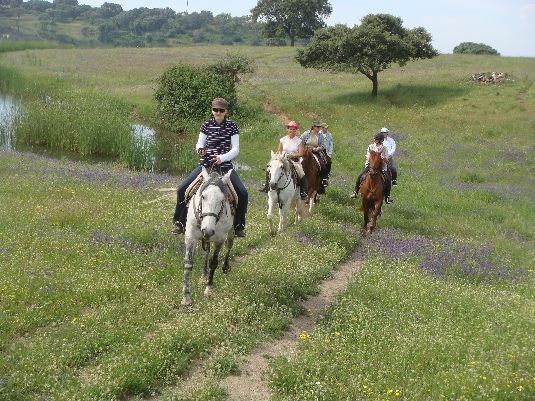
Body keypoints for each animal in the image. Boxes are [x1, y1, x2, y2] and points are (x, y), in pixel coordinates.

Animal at [182, 166, 234, 306]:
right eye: (203, 196)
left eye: (222, 200)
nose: (208, 230)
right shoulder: (190, 236)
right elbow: (188, 263)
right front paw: (186, 297)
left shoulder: (220, 239)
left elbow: (214, 263)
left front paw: (208, 289)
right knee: (206, 251)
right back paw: (203, 275)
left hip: (231, 232)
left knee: (229, 246)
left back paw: (225, 267)